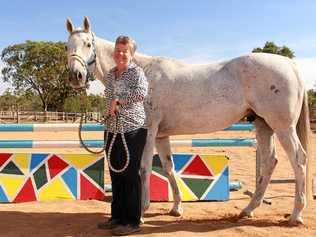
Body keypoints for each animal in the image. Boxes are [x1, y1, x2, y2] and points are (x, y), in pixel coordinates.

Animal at [65, 17, 310, 226]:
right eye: (68, 46)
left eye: (88, 44)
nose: (75, 76)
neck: (143, 73)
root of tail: (291, 65)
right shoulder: (162, 136)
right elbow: (169, 168)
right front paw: (176, 208)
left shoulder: (149, 131)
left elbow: (144, 168)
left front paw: (143, 210)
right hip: (264, 126)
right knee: (270, 162)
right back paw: (248, 210)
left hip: (283, 127)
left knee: (299, 160)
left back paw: (296, 215)